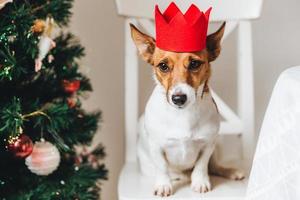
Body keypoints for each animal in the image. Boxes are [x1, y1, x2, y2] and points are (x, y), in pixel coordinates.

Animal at [130, 22, 245, 197]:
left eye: (194, 64)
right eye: (163, 66)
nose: (178, 98)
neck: (182, 114)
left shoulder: (208, 144)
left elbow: (201, 166)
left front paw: (200, 182)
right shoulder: (156, 147)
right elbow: (162, 167)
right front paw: (163, 185)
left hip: (217, 145)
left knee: (214, 167)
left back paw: (231, 172)